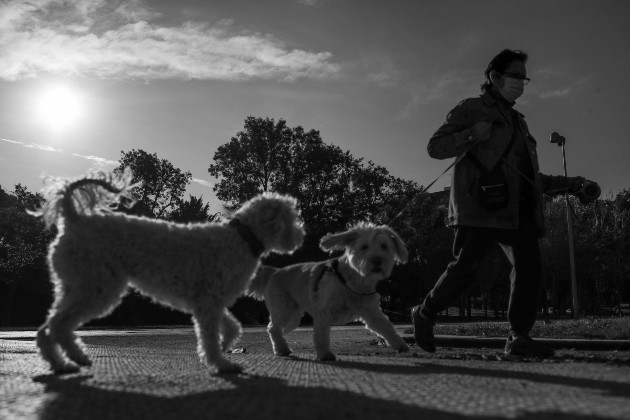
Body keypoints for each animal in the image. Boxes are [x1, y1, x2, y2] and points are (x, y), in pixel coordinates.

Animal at [33, 169, 304, 372]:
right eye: (291, 215)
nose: (301, 235)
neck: (242, 238)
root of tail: (73, 218)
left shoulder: (210, 303)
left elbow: (232, 328)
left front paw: (224, 346)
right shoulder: (207, 304)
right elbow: (209, 338)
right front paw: (221, 364)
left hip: (76, 288)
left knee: (51, 328)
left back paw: (66, 361)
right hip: (96, 289)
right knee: (57, 326)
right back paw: (65, 363)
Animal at [249, 223, 412, 360]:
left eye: (384, 246)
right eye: (364, 247)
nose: (377, 261)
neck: (354, 280)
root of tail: (275, 272)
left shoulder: (371, 313)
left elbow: (387, 328)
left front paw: (401, 345)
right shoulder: (323, 312)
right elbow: (321, 336)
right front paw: (325, 354)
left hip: (293, 317)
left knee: (277, 330)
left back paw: (282, 346)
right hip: (284, 309)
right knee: (273, 328)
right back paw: (281, 349)